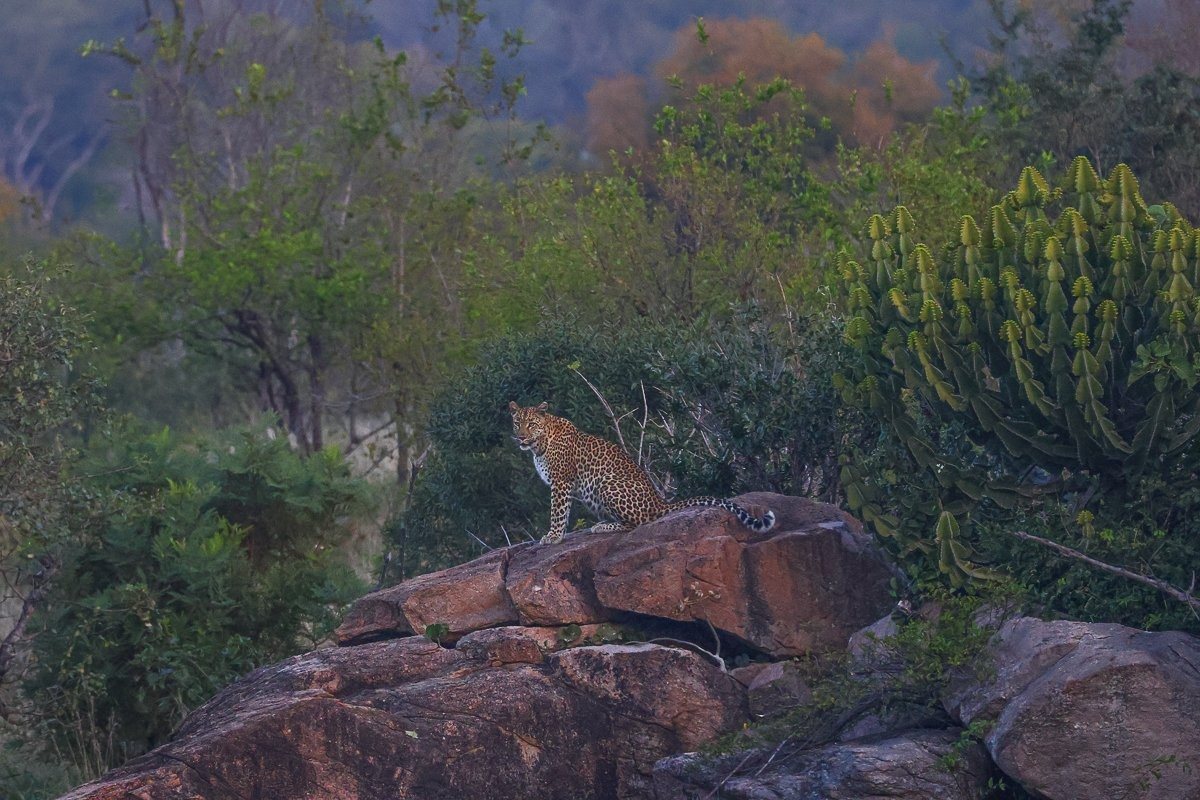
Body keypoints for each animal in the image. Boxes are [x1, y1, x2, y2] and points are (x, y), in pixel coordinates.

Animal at [509, 401, 776, 544]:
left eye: (531, 424)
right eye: (517, 423)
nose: (520, 437)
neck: (539, 443)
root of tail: (660, 502)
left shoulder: (561, 481)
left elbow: (557, 512)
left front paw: (553, 536)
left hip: (606, 482)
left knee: (637, 523)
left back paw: (602, 527)